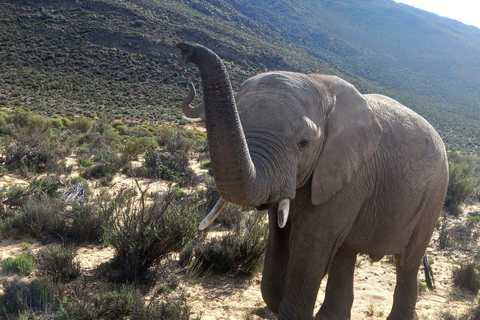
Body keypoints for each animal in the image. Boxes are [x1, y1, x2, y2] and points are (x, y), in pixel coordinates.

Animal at [176, 43, 450, 320]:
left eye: (303, 143)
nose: (185, 50)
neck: (321, 86)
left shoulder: (353, 174)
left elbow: (311, 243)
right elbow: (279, 239)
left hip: (434, 196)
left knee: (407, 261)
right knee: (345, 253)